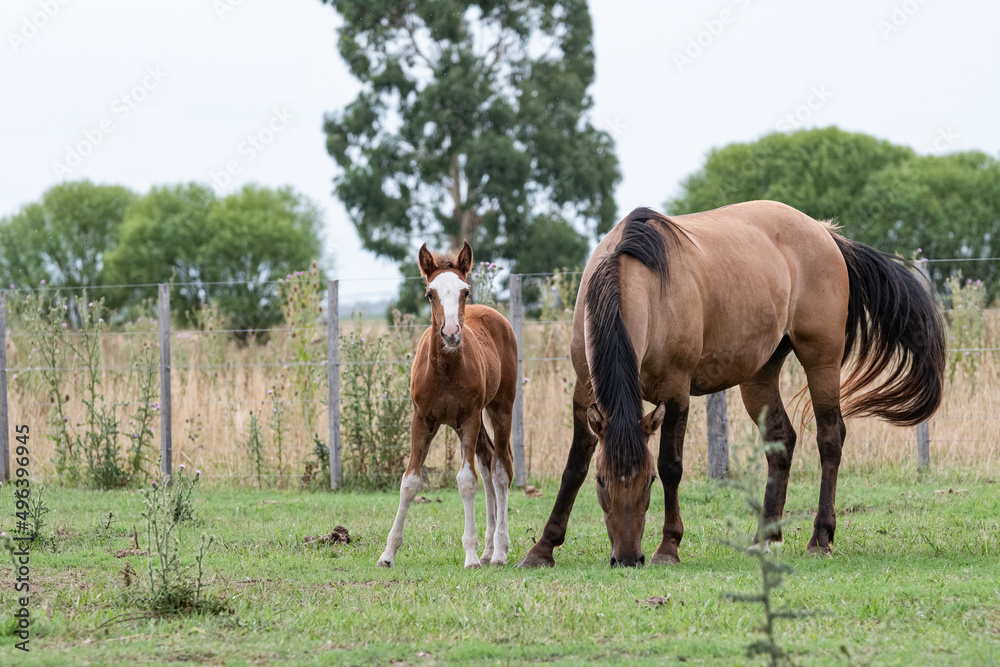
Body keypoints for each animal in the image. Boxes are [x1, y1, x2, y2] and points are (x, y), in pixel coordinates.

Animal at [378, 241, 519, 569]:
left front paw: (470, 554)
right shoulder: (422, 419)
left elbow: (467, 481)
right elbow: (409, 482)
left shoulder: (468, 418)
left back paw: (499, 551)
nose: (451, 333)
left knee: (500, 469)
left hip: (500, 407)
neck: (444, 369)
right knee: (487, 460)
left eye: (465, 291)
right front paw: (388, 553)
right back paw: (489, 550)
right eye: (430, 293)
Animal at [517, 200, 945, 568]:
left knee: (830, 437)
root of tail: (825, 233)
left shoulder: (676, 393)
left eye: (648, 481)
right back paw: (764, 538)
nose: (627, 558)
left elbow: (672, 465)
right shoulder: (584, 392)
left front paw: (668, 548)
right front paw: (542, 549)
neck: (636, 278)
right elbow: (573, 467)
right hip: (760, 373)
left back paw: (820, 538)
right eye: (603, 481)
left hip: (820, 358)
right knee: (781, 440)